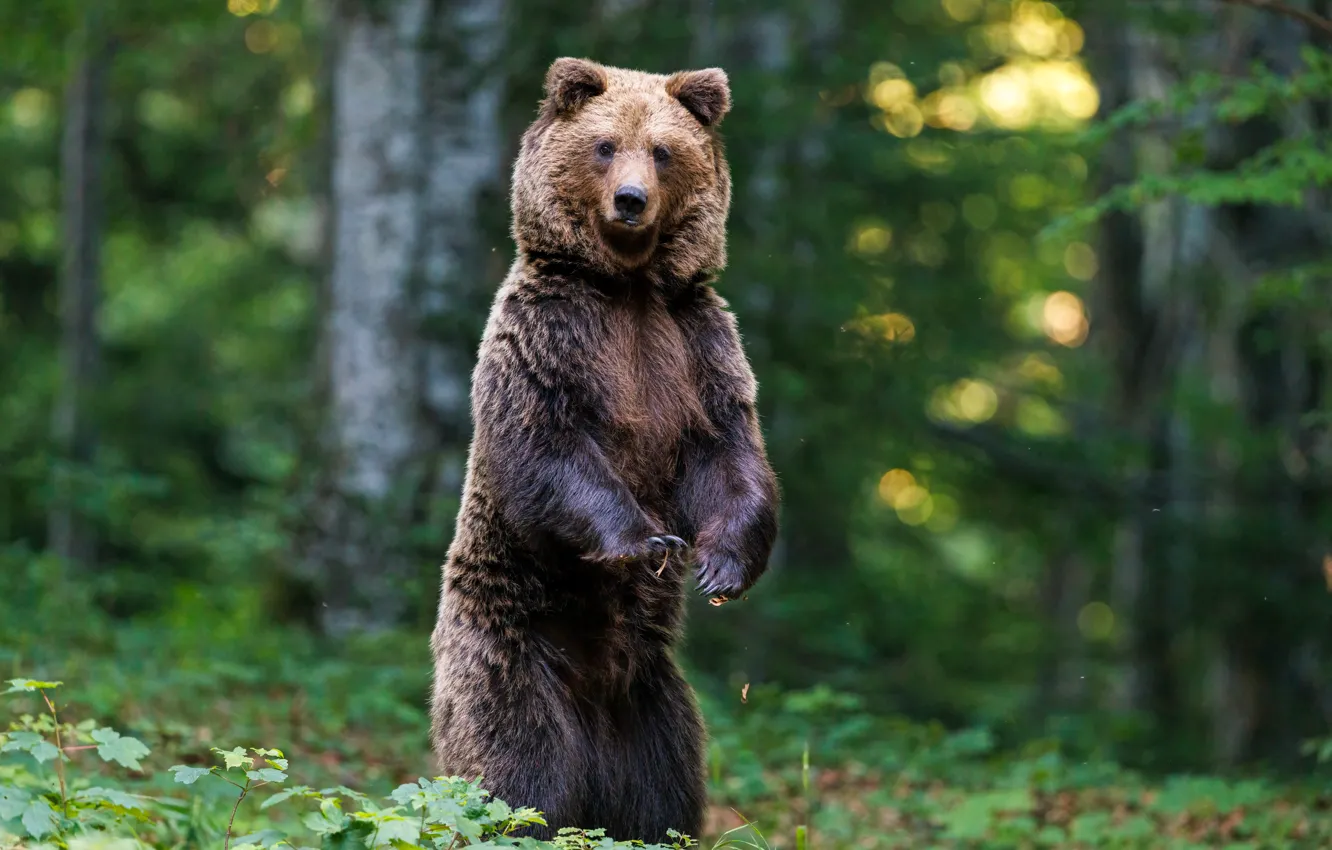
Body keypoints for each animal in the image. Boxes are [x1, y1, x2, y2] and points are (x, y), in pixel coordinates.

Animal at [429, 56, 779, 843]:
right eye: (604, 144)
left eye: (663, 151)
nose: (630, 200)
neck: (628, 286)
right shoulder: (551, 337)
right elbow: (548, 448)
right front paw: (650, 543)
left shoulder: (696, 344)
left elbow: (729, 452)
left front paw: (721, 565)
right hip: (512, 649)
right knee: (515, 774)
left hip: (652, 704)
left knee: (664, 792)